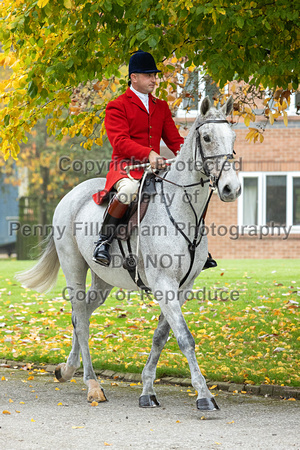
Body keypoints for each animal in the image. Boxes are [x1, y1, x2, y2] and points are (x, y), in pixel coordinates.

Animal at [16, 97, 241, 412]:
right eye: (207, 138)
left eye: (233, 138)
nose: (231, 188)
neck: (184, 211)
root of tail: (71, 194)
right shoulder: (163, 283)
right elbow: (184, 338)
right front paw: (204, 396)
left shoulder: (183, 286)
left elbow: (161, 337)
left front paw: (147, 390)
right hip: (74, 268)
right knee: (81, 320)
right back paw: (93, 385)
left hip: (104, 280)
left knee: (81, 314)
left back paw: (68, 369)